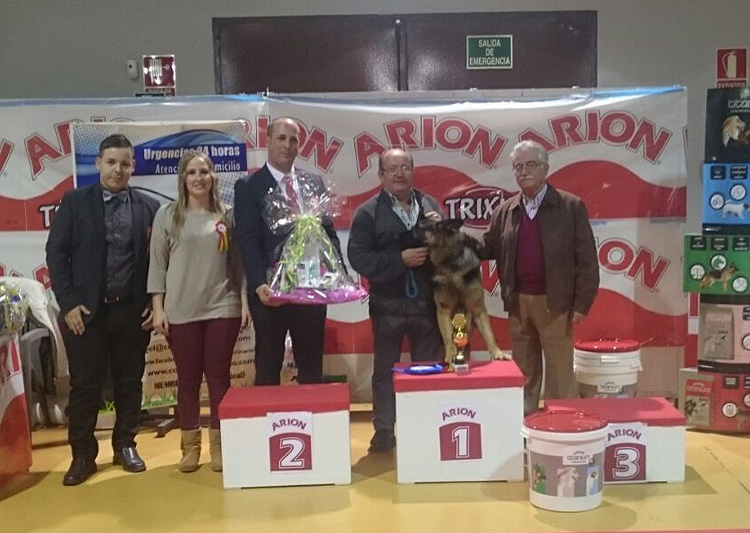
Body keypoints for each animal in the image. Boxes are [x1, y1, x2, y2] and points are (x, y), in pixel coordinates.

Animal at [424, 217, 512, 362]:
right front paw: (450, 355)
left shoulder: (478, 309)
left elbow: (489, 334)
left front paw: (497, 352)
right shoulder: (443, 311)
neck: (450, 263)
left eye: (434, 224)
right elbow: (448, 338)